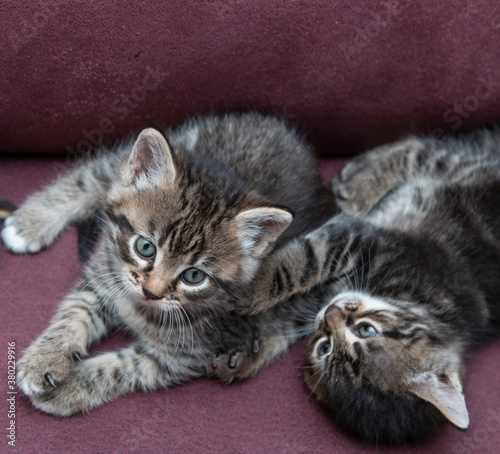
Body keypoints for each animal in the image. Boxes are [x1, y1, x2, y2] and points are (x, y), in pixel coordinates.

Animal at [2, 112, 336, 414]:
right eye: (145, 247)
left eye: (194, 276)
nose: (151, 292)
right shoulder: (104, 273)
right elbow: (75, 311)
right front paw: (45, 357)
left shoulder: (177, 358)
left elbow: (117, 369)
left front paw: (68, 387)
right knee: (92, 175)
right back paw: (28, 224)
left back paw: (244, 357)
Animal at [216, 129, 500, 446]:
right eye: (367, 330)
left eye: (324, 347)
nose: (332, 313)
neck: (424, 301)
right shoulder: (364, 241)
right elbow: (302, 261)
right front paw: (250, 287)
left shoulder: (335, 281)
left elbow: (290, 312)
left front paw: (249, 354)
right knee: (419, 148)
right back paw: (356, 185)